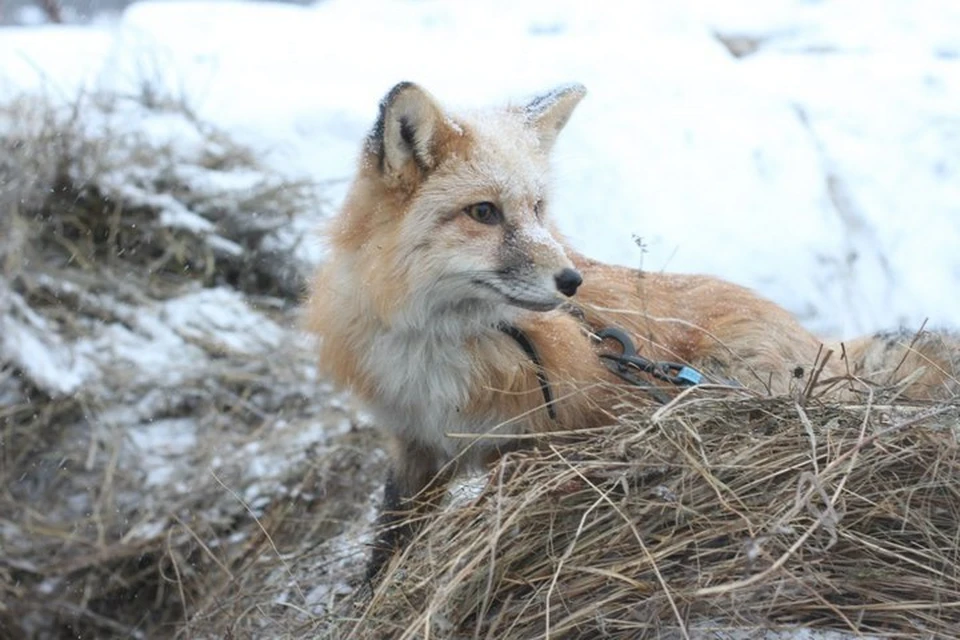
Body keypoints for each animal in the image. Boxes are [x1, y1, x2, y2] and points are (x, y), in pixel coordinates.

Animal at [308, 80, 960, 580]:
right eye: (484, 213)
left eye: (539, 209)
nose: (571, 281)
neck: (439, 344)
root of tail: (820, 343)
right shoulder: (412, 443)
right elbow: (386, 545)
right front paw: (370, 600)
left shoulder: (533, 444)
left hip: (726, 377)